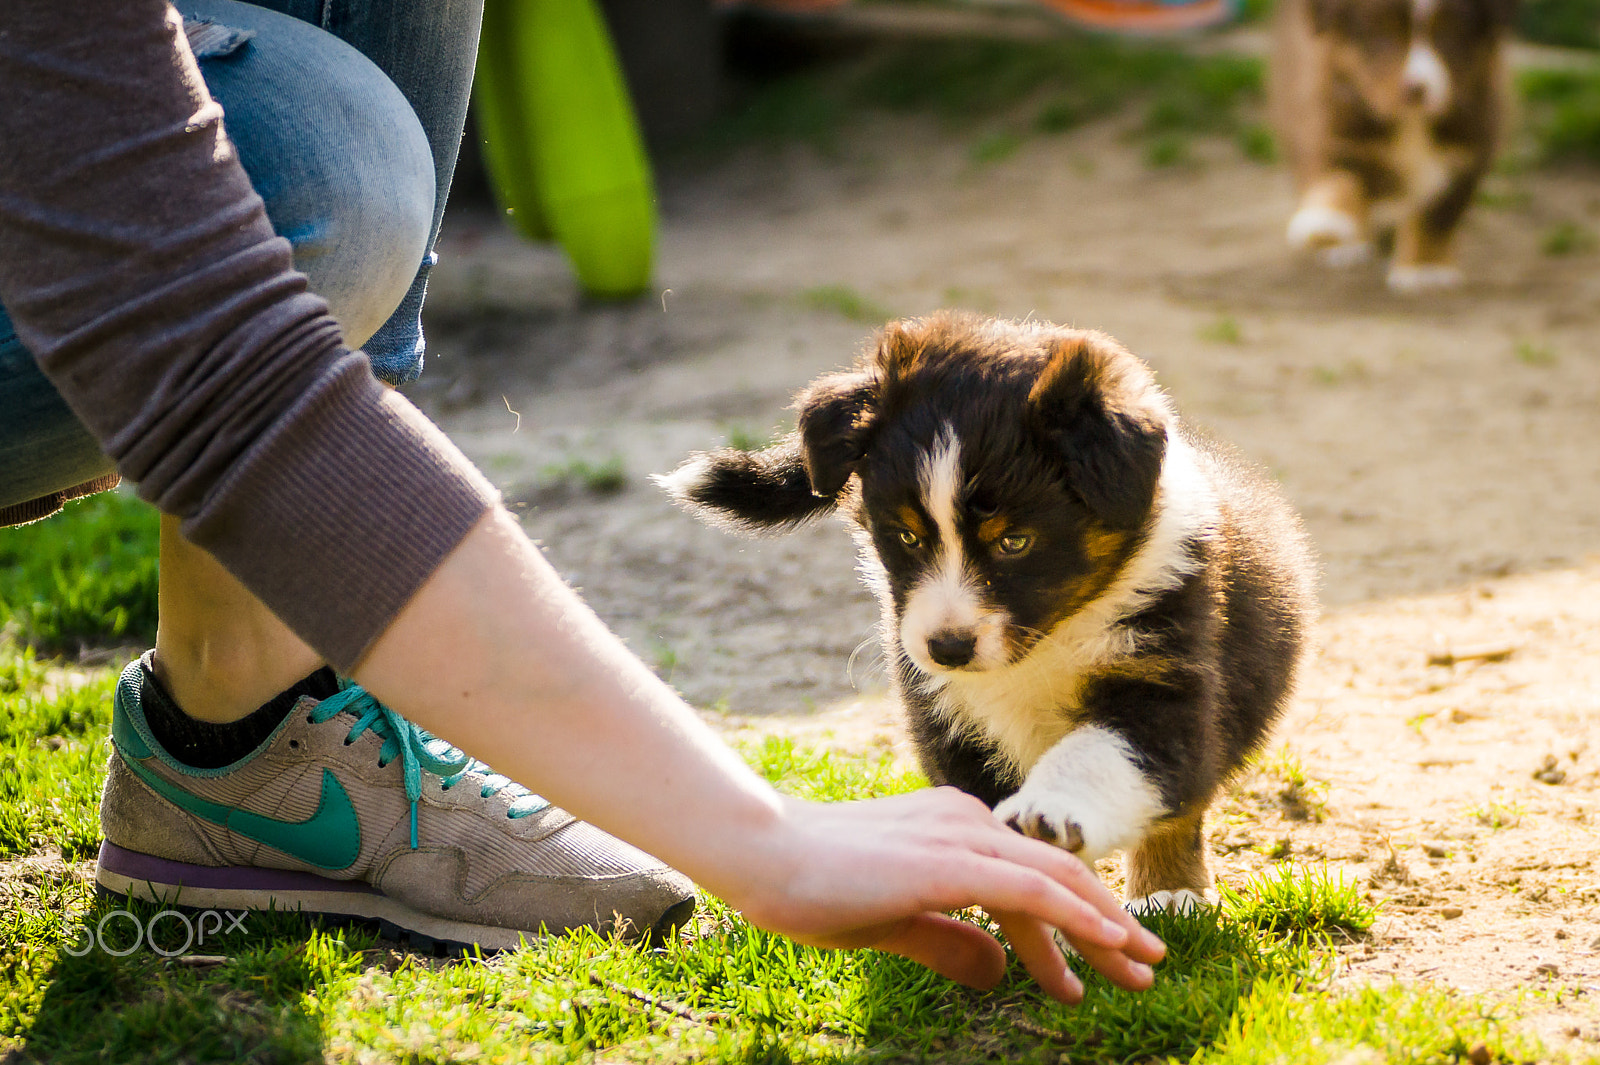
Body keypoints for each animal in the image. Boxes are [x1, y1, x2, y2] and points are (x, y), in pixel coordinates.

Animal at [659, 311, 1312, 908]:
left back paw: (1169, 891)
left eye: (1014, 542)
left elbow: (1103, 756)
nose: (948, 647)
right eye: (907, 537)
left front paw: (1051, 814)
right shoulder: (949, 714)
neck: (1047, 643)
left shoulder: (1160, 682)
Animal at [1273, 0, 1510, 291]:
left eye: (1449, 33)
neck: (1412, 124)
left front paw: (1425, 267)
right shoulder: (1331, 117)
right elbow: (1339, 173)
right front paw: (1329, 221)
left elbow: (1437, 214)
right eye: (1380, 33)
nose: (1415, 89)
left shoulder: (1468, 151)